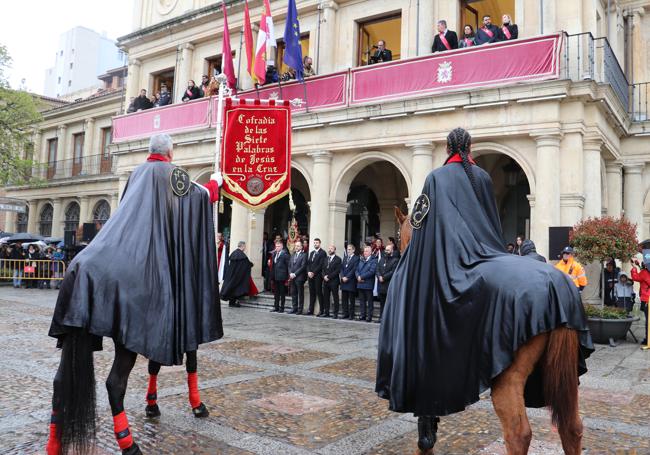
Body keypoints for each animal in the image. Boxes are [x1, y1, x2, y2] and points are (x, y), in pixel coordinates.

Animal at [392, 208, 584, 455]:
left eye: (398, 236)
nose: (398, 252)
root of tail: (556, 286)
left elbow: (424, 419)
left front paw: (425, 444)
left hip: (509, 380)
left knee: (518, 434)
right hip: (566, 376)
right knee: (572, 427)